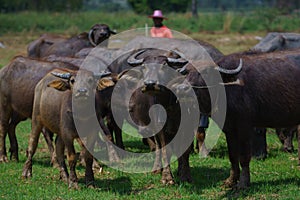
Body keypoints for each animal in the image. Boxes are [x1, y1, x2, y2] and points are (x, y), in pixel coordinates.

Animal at [175, 49, 300, 189]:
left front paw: (243, 183)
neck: (227, 89)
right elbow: (233, 156)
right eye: (186, 72)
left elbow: (244, 157)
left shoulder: (244, 128)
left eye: (206, 72)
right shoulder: (229, 129)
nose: (182, 89)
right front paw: (231, 180)